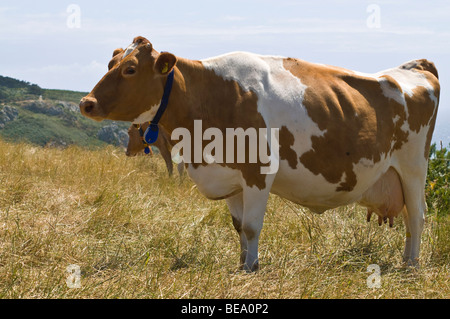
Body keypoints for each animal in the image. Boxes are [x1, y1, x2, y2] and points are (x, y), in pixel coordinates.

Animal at [80, 37, 440, 272]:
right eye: (110, 64)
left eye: (130, 69)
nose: (86, 102)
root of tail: (415, 68)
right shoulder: (230, 178)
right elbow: (239, 226)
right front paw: (241, 263)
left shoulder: (258, 171)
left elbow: (252, 226)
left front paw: (252, 266)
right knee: (409, 218)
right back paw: (406, 260)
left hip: (414, 167)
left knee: (417, 216)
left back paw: (412, 264)